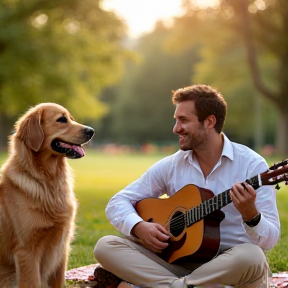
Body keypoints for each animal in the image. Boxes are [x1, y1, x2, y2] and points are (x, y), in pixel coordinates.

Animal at [0, 102, 95, 286]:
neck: (48, 181)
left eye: (71, 118)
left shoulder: (61, 249)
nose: (91, 131)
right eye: (62, 120)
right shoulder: (27, 251)